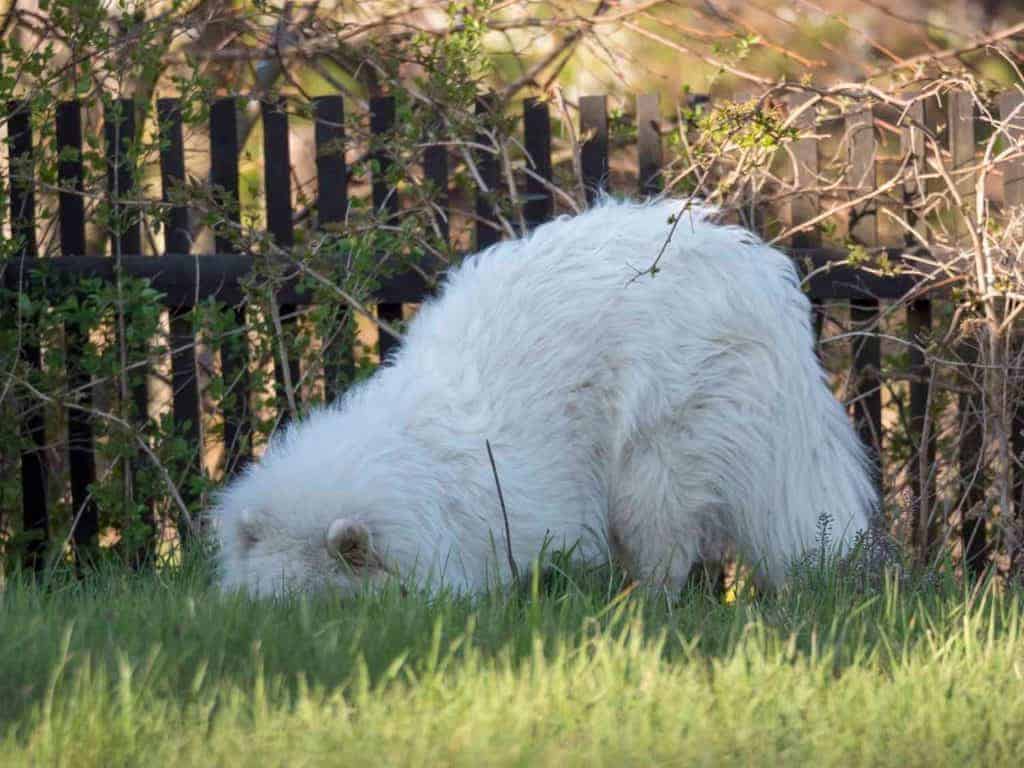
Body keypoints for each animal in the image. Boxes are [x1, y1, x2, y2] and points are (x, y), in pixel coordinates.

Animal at [211, 198, 876, 602]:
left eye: (321, 606)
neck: (409, 462)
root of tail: (751, 266)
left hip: (656, 463)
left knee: (667, 553)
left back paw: (644, 610)